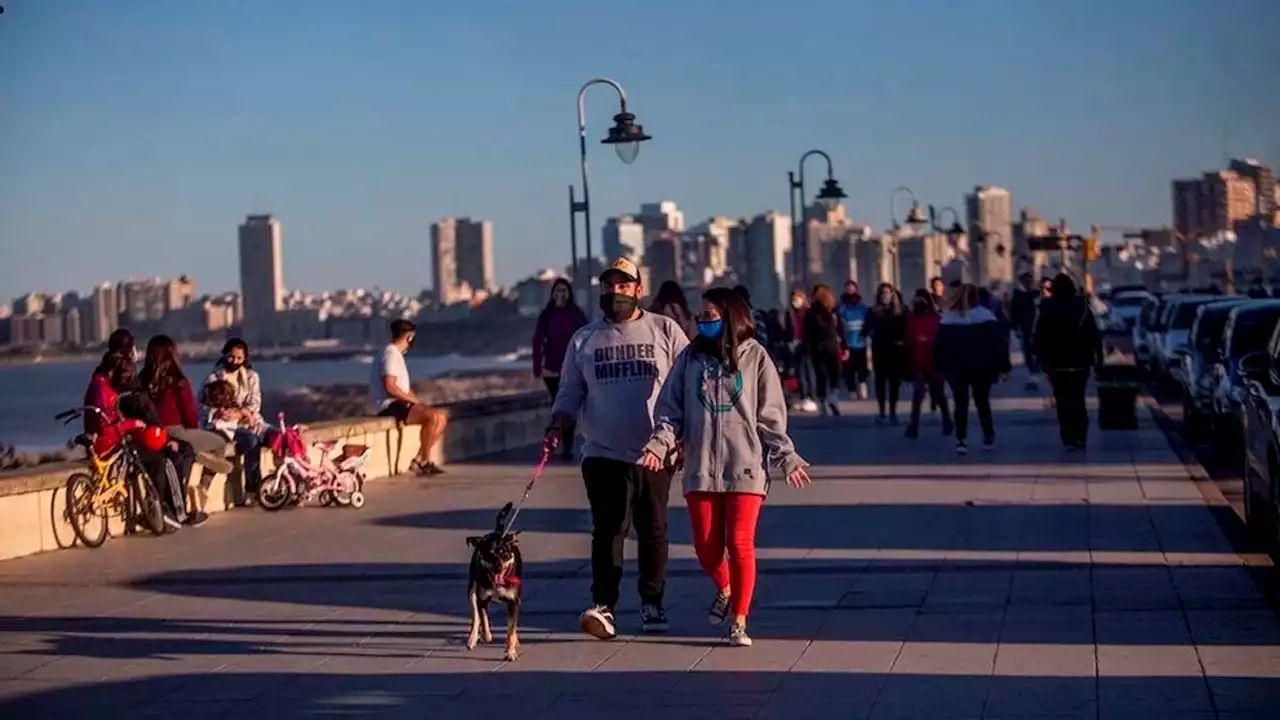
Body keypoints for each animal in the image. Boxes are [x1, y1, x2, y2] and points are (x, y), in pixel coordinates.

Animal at [468, 502, 522, 661]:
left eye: (504, 553)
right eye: (489, 555)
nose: (498, 567)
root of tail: (497, 532)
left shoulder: (514, 602)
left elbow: (511, 629)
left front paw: (510, 651)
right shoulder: (481, 599)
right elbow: (484, 618)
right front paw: (487, 636)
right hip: (472, 590)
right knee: (475, 616)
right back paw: (473, 638)